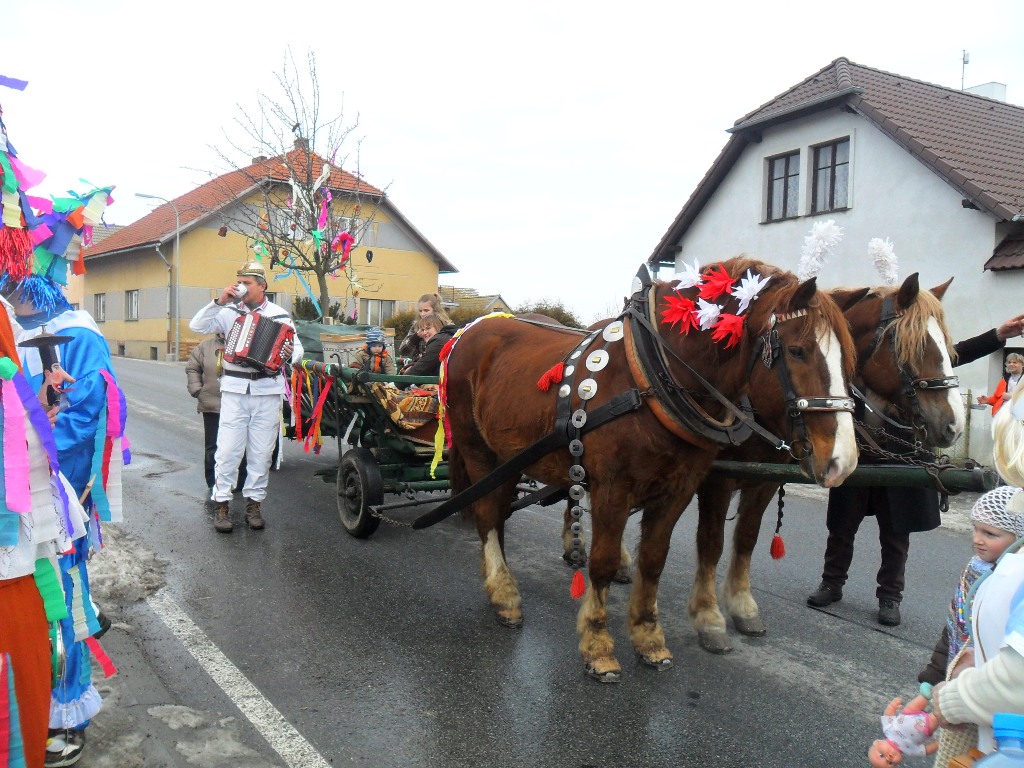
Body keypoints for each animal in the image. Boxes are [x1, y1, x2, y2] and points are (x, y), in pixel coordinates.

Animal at [444, 260, 860, 684]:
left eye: (849, 360)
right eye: (797, 351)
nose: (842, 461)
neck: (652, 378)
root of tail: (472, 329)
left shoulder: (679, 489)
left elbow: (656, 559)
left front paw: (648, 637)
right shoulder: (615, 488)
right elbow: (604, 562)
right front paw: (598, 644)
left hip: (509, 456)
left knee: (498, 511)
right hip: (480, 452)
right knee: (488, 516)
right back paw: (504, 594)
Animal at [688, 274, 958, 651]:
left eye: (948, 346)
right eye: (917, 346)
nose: (953, 424)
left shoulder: (764, 482)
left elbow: (746, 538)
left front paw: (742, 607)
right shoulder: (718, 481)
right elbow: (711, 543)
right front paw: (709, 617)